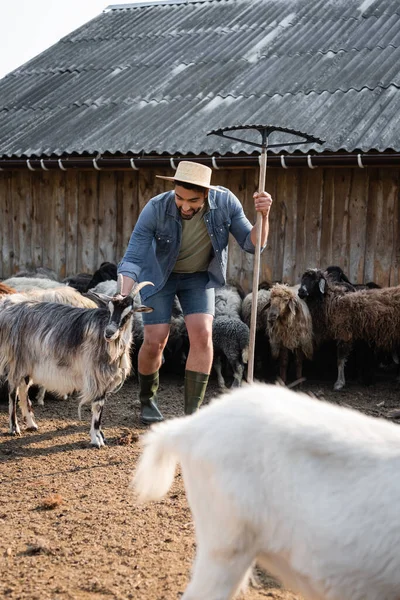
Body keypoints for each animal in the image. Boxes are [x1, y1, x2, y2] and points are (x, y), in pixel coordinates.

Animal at [0, 276, 153, 446]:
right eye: (110, 309)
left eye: (128, 313)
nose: (109, 333)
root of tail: (10, 307)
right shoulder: (97, 375)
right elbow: (97, 406)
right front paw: (96, 439)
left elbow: (101, 406)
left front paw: (100, 436)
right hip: (16, 359)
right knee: (13, 390)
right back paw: (14, 428)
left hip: (28, 363)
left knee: (23, 389)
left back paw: (31, 424)